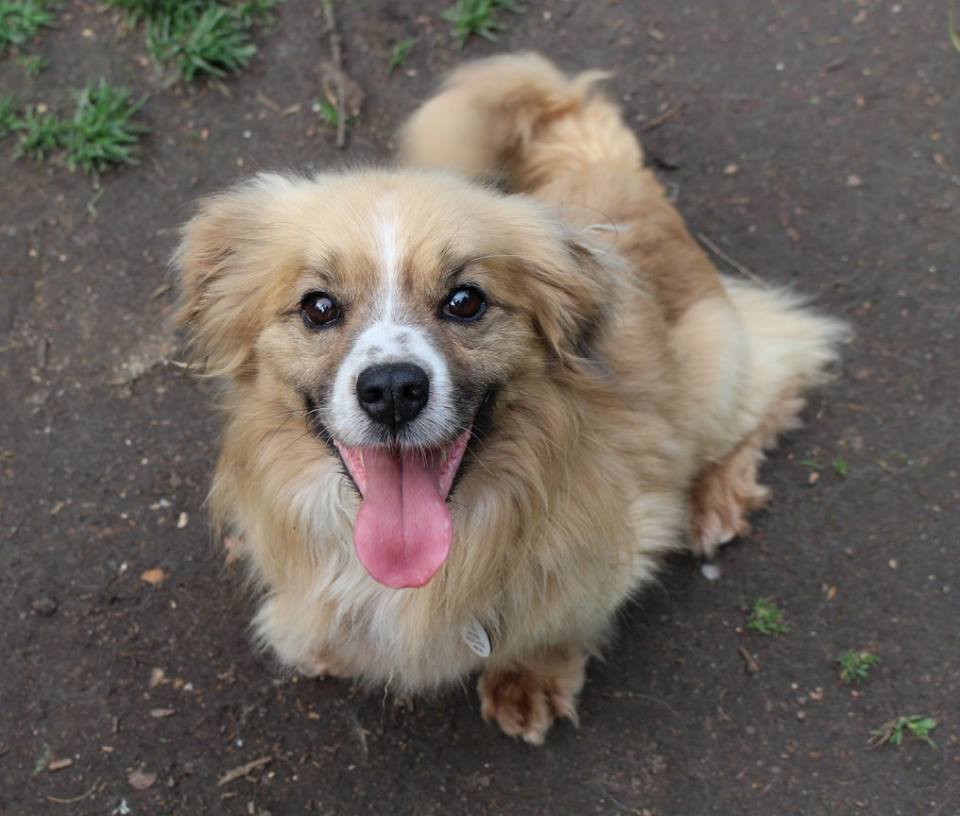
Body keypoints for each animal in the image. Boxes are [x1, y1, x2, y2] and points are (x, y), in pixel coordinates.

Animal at [174, 53, 845, 744]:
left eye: (465, 301)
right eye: (318, 307)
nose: (392, 391)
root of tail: (600, 158)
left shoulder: (624, 534)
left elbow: (558, 623)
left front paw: (531, 679)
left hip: (714, 372)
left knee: (784, 370)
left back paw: (716, 498)